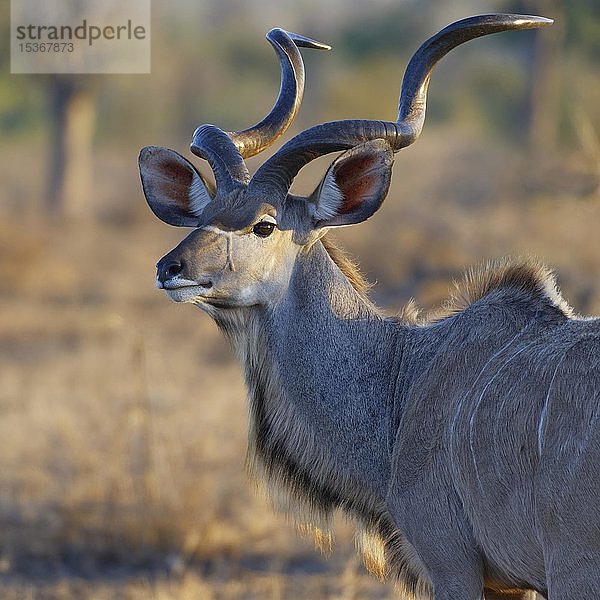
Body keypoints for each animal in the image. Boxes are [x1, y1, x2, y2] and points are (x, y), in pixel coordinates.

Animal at [138, 14, 596, 600]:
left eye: (264, 224)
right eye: (203, 216)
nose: (170, 268)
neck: (403, 374)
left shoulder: (454, 565)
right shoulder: (505, 582)